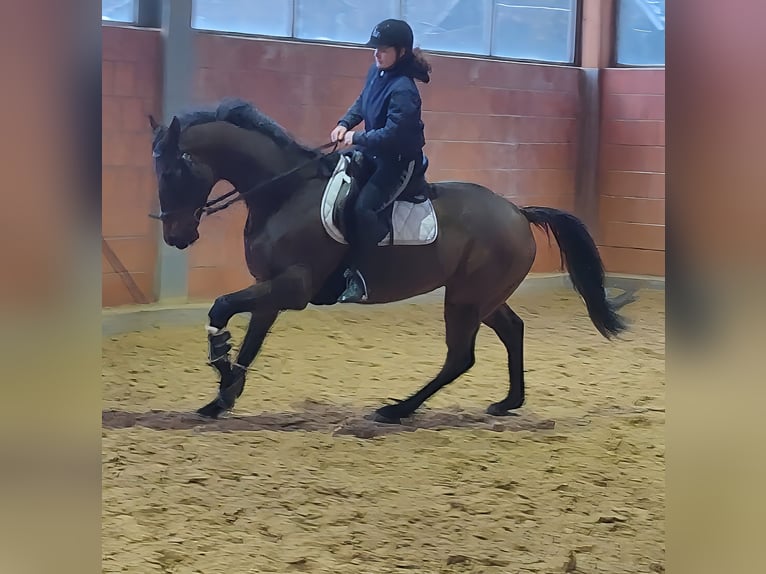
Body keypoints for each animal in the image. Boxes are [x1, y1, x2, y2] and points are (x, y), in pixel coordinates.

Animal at [147, 98, 629, 423]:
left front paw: (219, 360)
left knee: (460, 357)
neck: (283, 194)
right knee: (512, 330)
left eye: (172, 171)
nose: (175, 236)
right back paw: (508, 402)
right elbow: (250, 341)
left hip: (466, 299)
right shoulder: (271, 288)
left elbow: (222, 307)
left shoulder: (293, 287)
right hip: (483, 296)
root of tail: (518, 212)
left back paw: (397, 410)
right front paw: (221, 396)